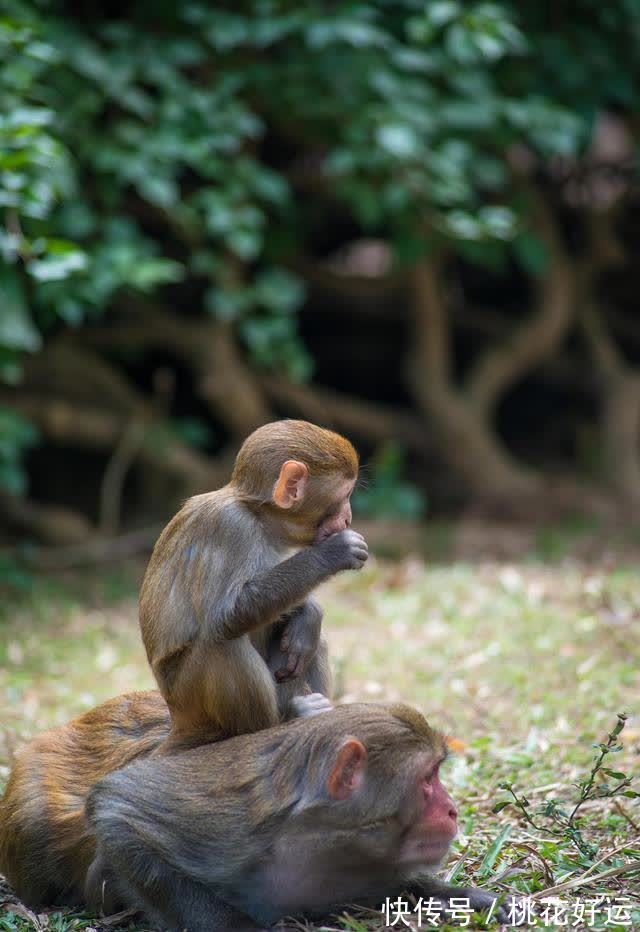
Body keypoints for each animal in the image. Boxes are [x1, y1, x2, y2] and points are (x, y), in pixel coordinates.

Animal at [141, 418, 370, 748]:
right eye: (345, 494)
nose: (349, 518)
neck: (259, 517)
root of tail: (177, 721)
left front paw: (309, 613)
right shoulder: (230, 527)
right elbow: (228, 614)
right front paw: (332, 554)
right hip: (192, 702)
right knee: (220, 643)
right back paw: (276, 723)